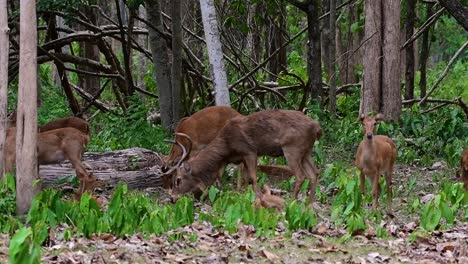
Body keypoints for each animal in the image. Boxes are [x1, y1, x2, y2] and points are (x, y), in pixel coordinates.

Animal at [171, 109, 322, 202]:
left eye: (178, 180)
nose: (172, 199)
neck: (226, 148)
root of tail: (317, 127)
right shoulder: (238, 158)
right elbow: (237, 177)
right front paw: (241, 194)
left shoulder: (250, 151)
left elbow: (253, 177)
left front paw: (259, 197)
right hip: (306, 151)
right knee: (314, 173)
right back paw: (310, 203)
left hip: (292, 148)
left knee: (301, 175)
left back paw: (292, 200)